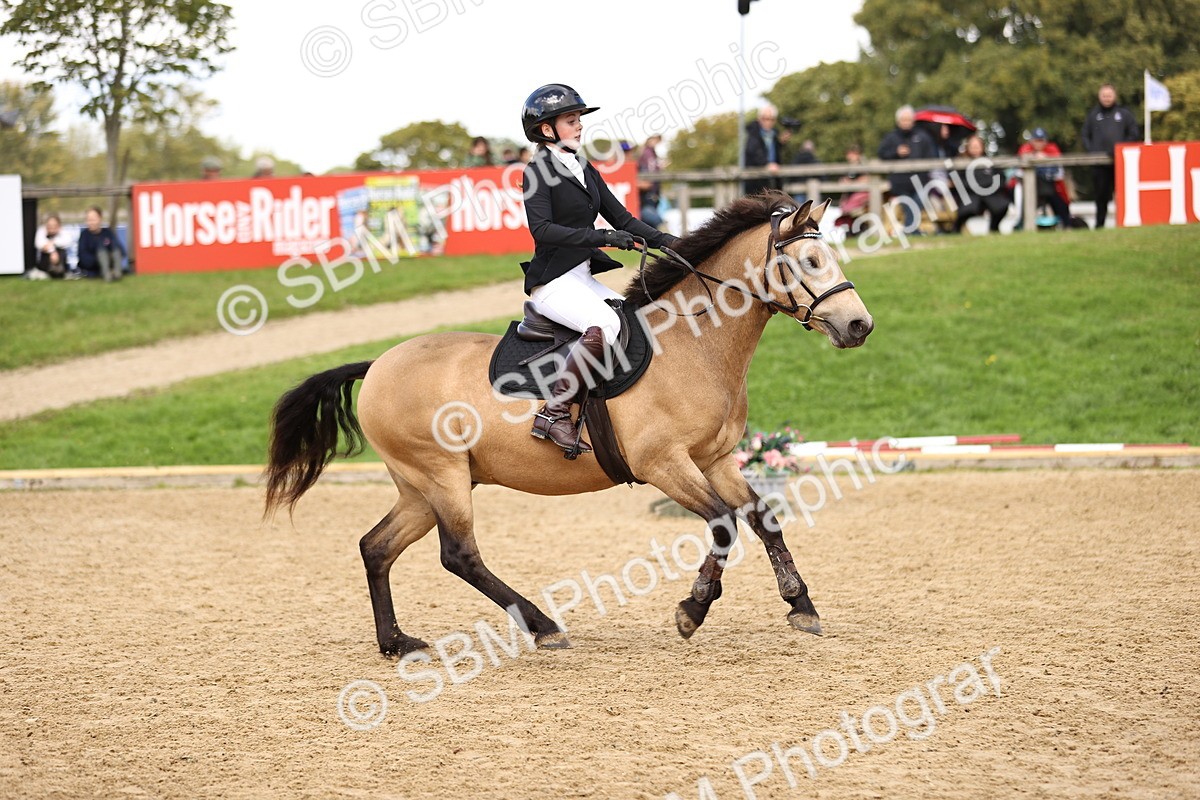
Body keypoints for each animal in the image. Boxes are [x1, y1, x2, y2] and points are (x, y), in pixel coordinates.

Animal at [264, 192, 873, 657]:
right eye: (810, 262)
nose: (859, 326)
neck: (692, 344)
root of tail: (378, 365)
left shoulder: (715, 459)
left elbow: (763, 519)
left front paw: (801, 605)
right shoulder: (664, 464)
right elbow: (724, 524)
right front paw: (692, 610)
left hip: (420, 488)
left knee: (377, 547)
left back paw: (395, 642)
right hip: (441, 476)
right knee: (458, 554)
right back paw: (543, 626)